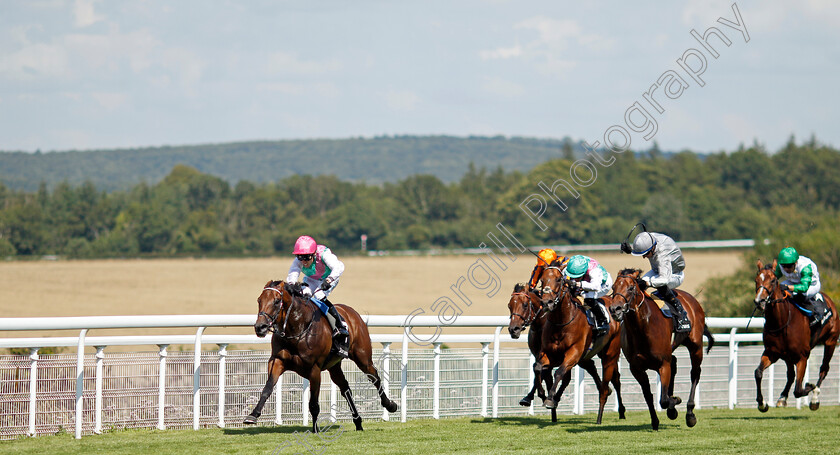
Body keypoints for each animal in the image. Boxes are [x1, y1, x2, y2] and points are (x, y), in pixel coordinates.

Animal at [244, 280, 398, 432]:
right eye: (259, 300)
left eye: (276, 301)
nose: (260, 327)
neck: (297, 329)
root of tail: (353, 313)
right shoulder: (277, 361)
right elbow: (268, 388)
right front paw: (253, 415)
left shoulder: (314, 369)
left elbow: (313, 403)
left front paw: (315, 429)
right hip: (334, 366)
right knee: (345, 388)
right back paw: (358, 422)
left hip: (362, 357)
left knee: (374, 377)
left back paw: (390, 405)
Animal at [536, 264, 628, 424]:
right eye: (542, 279)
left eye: (559, 279)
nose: (547, 303)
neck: (562, 321)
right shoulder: (549, 353)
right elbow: (538, 368)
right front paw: (543, 393)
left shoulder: (573, 353)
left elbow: (559, 372)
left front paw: (549, 399)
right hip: (589, 354)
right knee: (598, 370)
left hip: (610, 354)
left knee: (613, 379)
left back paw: (607, 413)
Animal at [608, 268, 712, 432]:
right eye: (613, 288)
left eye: (631, 288)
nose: (614, 309)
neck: (643, 328)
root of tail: (691, 299)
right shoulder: (636, 368)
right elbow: (648, 395)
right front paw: (656, 420)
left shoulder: (663, 364)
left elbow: (663, 400)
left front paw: (674, 402)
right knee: (675, 363)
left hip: (695, 346)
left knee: (695, 373)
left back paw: (690, 414)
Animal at [752, 260, 836, 414]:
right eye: (756, 280)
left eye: (773, 280)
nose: (759, 301)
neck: (782, 321)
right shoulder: (772, 352)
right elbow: (758, 373)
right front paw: (762, 403)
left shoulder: (802, 356)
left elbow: (798, 389)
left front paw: (811, 387)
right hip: (787, 356)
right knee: (790, 375)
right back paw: (782, 398)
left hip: (830, 342)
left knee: (824, 368)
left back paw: (815, 398)